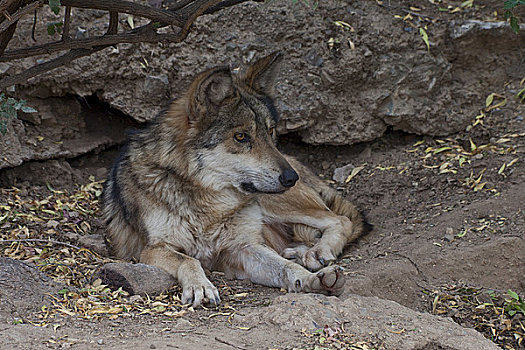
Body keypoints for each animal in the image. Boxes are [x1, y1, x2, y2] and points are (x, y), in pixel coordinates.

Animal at [102, 51, 370, 306]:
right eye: (241, 136)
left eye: (270, 131)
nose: (290, 178)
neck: (208, 200)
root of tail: (296, 164)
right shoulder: (152, 250)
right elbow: (188, 260)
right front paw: (201, 287)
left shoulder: (243, 247)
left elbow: (287, 268)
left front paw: (312, 279)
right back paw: (302, 251)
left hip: (276, 205)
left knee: (341, 219)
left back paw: (317, 252)